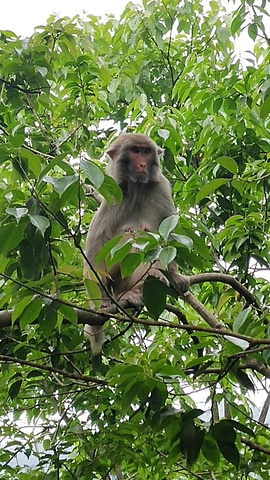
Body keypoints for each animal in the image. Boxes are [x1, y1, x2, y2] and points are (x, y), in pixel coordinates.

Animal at [83, 133, 187, 354]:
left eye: (145, 152)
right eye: (134, 151)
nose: (142, 164)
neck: (138, 186)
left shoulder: (162, 188)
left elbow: (168, 238)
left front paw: (174, 275)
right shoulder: (114, 194)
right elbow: (96, 247)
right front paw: (102, 301)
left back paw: (150, 281)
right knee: (128, 239)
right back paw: (124, 295)